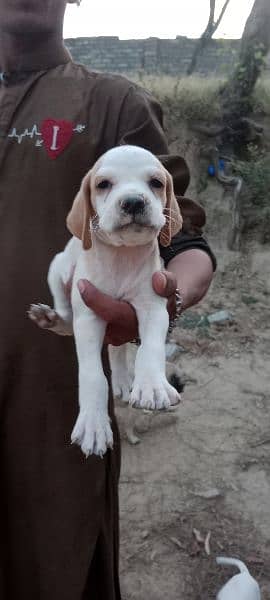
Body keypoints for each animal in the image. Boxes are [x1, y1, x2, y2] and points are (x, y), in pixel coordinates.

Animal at [28, 144, 182, 454]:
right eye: (103, 185)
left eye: (156, 183)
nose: (133, 202)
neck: (122, 255)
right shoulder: (89, 316)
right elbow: (92, 375)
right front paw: (93, 424)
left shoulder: (152, 306)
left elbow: (150, 349)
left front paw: (151, 384)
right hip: (58, 268)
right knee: (66, 316)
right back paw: (51, 318)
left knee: (119, 350)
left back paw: (125, 380)